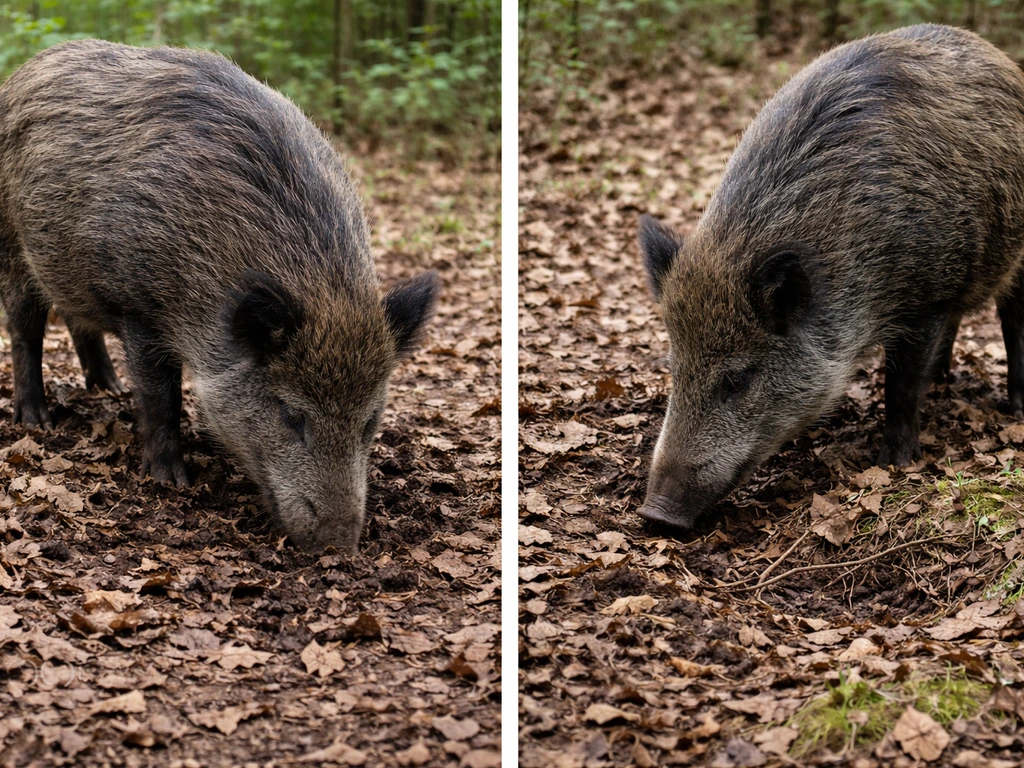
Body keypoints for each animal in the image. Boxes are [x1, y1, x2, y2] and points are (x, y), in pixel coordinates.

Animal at [0, 40, 439, 553]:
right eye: (291, 414)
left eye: (369, 420)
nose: (340, 548)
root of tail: (23, 71)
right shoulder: (140, 307)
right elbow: (161, 397)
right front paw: (171, 481)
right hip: (13, 248)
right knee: (24, 329)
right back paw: (37, 421)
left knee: (77, 320)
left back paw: (109, 389)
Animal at [637, 24, 1024, 529]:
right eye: (673, 368)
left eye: (738, 379)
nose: (655, 514)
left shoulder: (925, 300)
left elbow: (901, 389)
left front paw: (894, 465)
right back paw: (941, 382)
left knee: (1013, 320)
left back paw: (1015, 409)